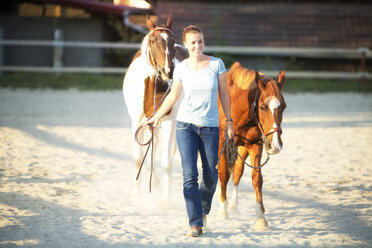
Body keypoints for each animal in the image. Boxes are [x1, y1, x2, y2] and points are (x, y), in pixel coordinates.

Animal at [123, 15, 187, 198]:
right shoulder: (137, 123)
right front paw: (136, 191)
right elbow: (138, 158)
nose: (168, 71)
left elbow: (167, 160)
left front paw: (167, 197)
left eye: (172, 41)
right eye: (153, 41)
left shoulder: (169, 122)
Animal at [217, 61, 286, 231]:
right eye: (262, 107)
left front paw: (261, 217)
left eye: (284, 106)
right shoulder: (222, 143)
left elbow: (256, 178)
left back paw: (234, 205)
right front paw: (223, 211)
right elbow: (223, 174)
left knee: (238, 171)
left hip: (243, 147)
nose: (275, 145)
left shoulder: (256, 145)